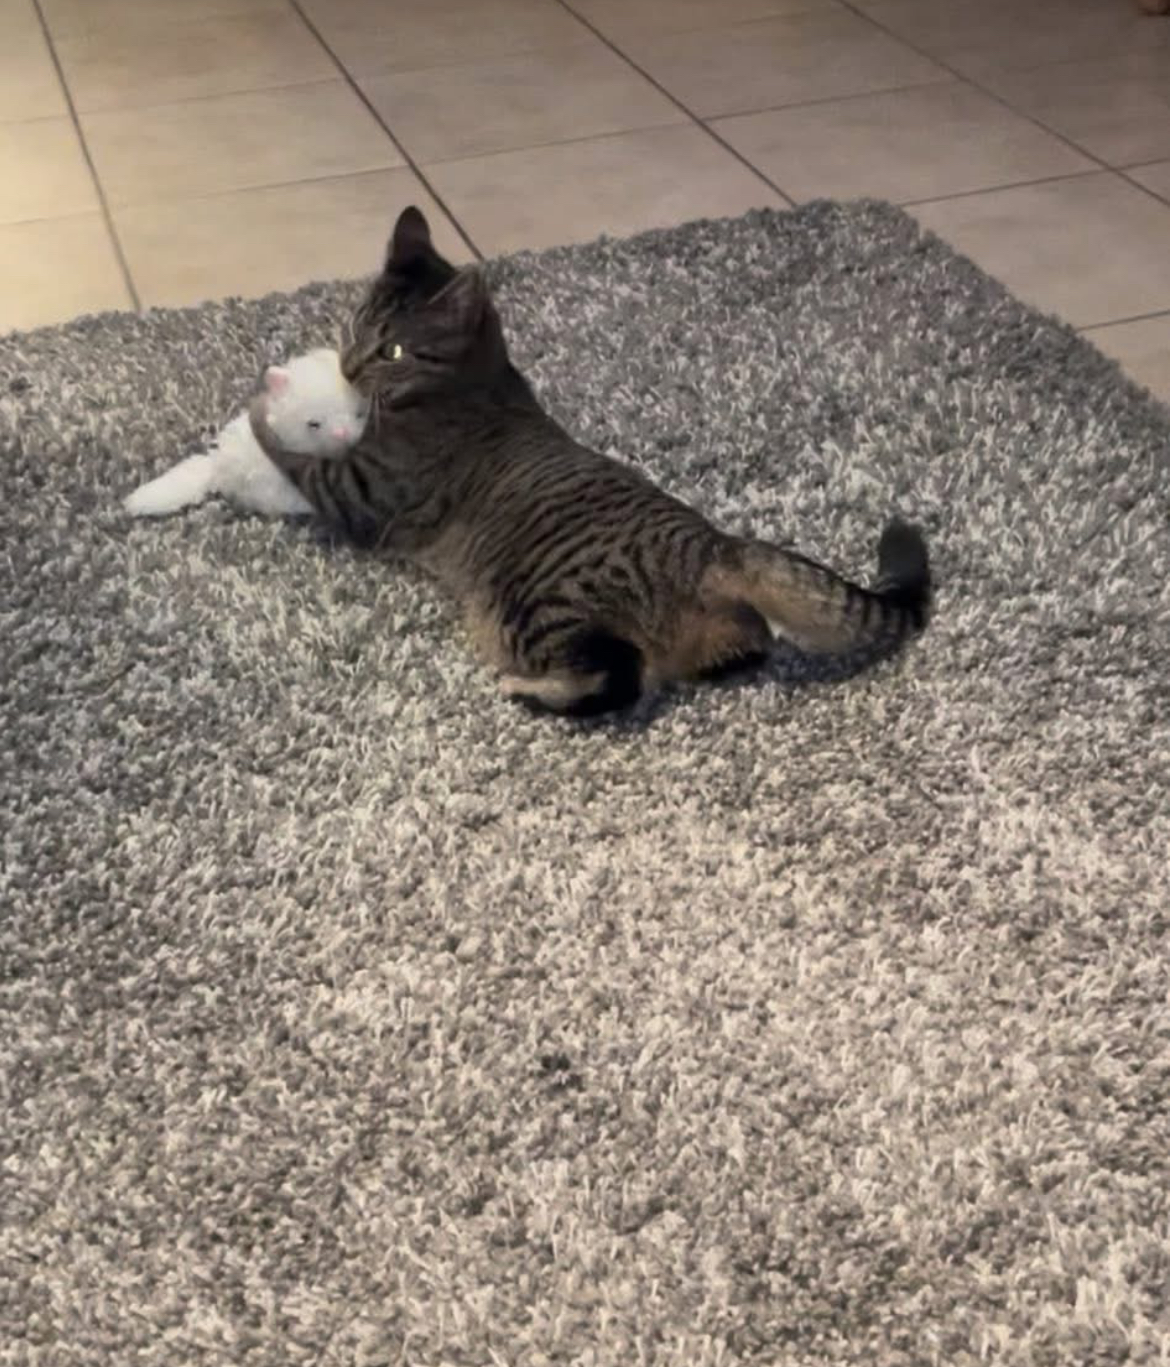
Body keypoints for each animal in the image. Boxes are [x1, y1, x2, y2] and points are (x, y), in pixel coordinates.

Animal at [246, 206, 931, 718]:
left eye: (390, 350)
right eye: (357, 324)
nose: (347, 365)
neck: (474, 380)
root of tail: (715, 547)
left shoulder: (360, 487)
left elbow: (293, 459)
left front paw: (256, 416)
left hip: (539, 607)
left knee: (620, 678)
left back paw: (528, 689)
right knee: (744, 650)